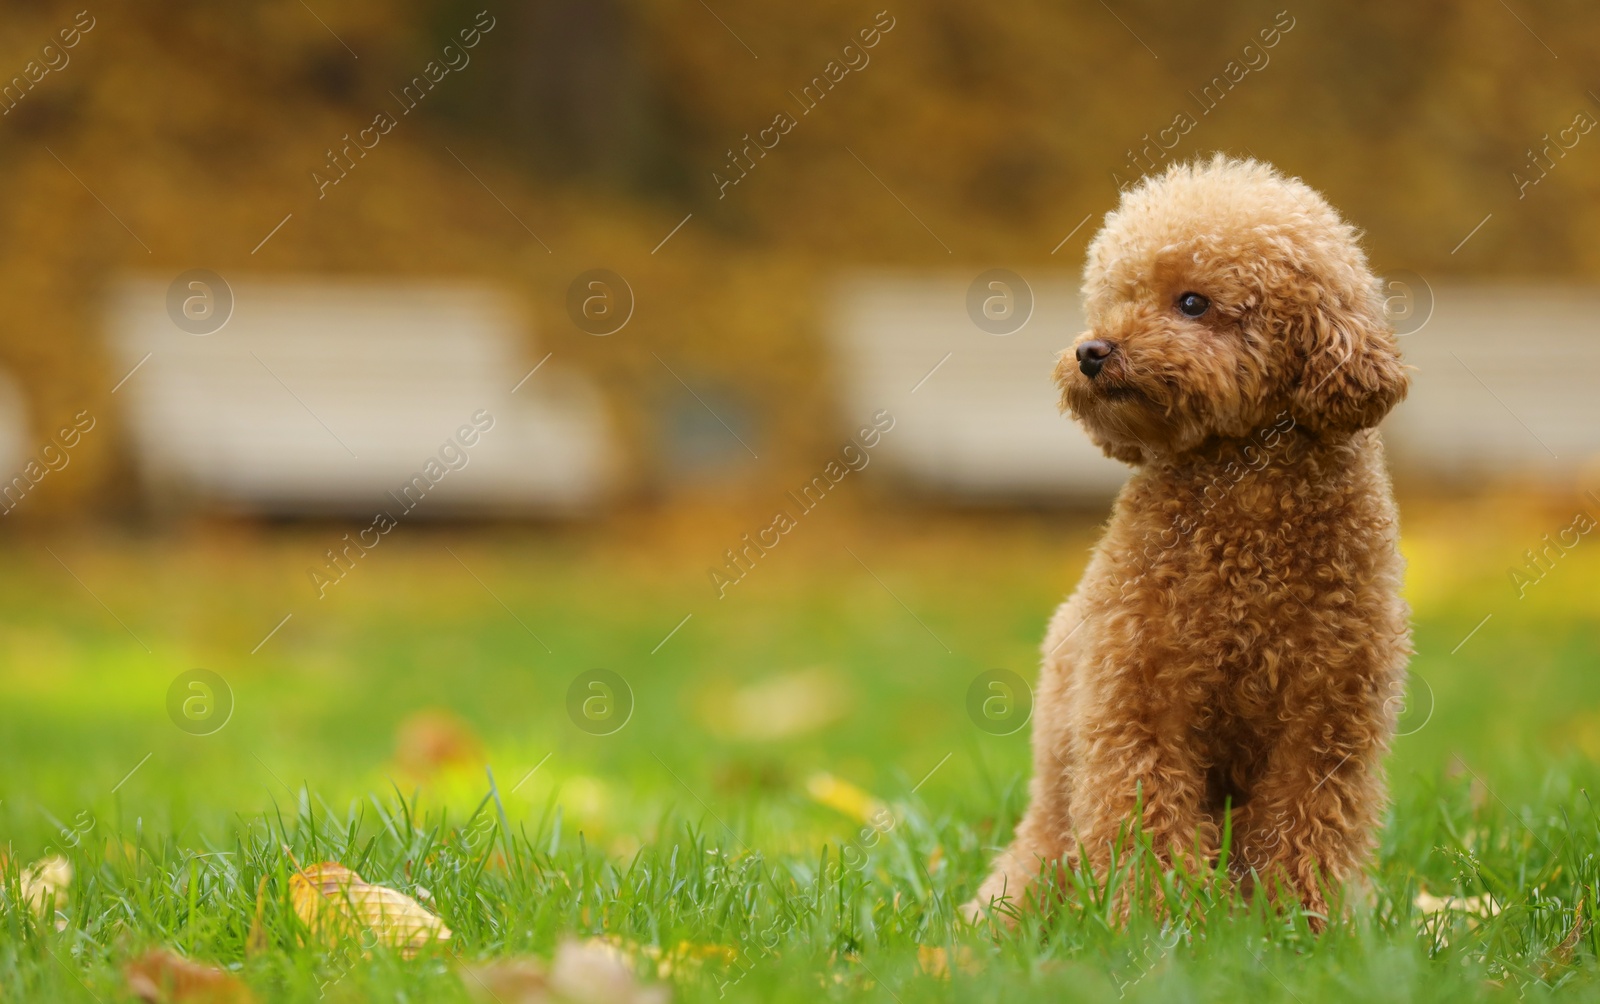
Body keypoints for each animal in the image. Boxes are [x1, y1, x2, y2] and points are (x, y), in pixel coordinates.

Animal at [960, 155, 1414, 927]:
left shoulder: (1326, 721)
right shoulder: (1139, 702)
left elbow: (1307, 827)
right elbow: (1147, 821)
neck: (1244, 494)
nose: (1091, 351)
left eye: (1193, 302)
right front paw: (1159, 922)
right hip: (1050, 815)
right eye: (1118, 297)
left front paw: (1301, 924)